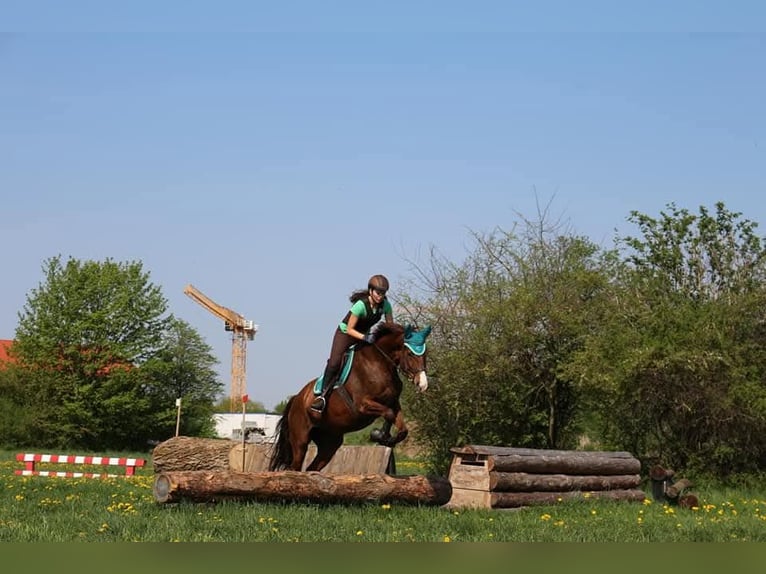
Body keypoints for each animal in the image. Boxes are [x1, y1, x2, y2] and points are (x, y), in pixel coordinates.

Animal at [268, 322, 431, 472]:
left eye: (425, 354)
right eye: (410, 354)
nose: (423, 384)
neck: (379, 364)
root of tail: (297, 398)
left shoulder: (393, 403)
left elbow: (402, 429)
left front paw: (386, 438)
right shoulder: (363, 405)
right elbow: (389, 414)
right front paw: (379, 435)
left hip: (329, 443)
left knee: (311, 468)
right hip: (300, 440)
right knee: (294, 467)